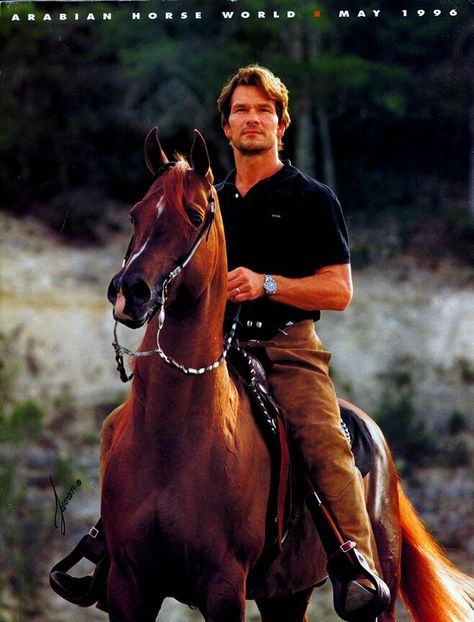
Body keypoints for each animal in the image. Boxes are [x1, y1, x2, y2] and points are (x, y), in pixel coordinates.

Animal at [102, 128, 472, 622]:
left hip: (379, 597)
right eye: (135, 213)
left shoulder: (223, 588)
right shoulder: (128, 587)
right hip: (286, 593)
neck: (172, 435)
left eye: (194, 215)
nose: (130, 293)